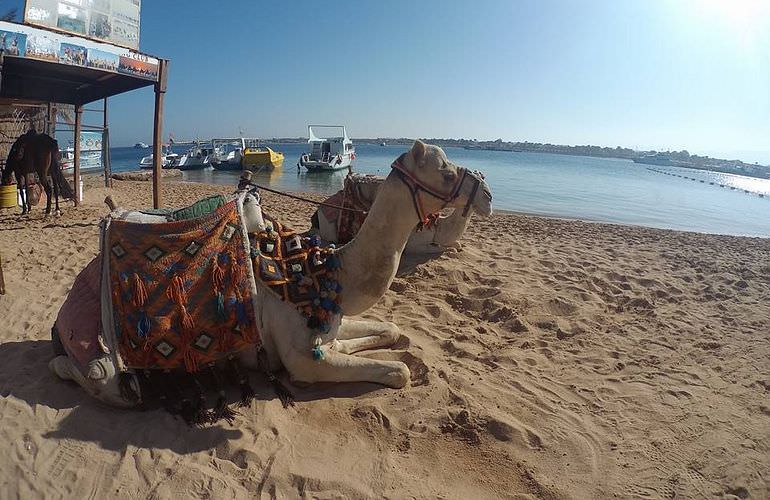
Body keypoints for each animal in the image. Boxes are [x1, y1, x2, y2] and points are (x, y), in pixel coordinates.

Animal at [308, 175, 472, 254]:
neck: (437, 225)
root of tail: (318, 211)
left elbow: (455, 243)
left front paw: (455, 246)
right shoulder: (413, 245)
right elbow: (438, 248)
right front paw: (451, 250)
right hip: (329, 227)